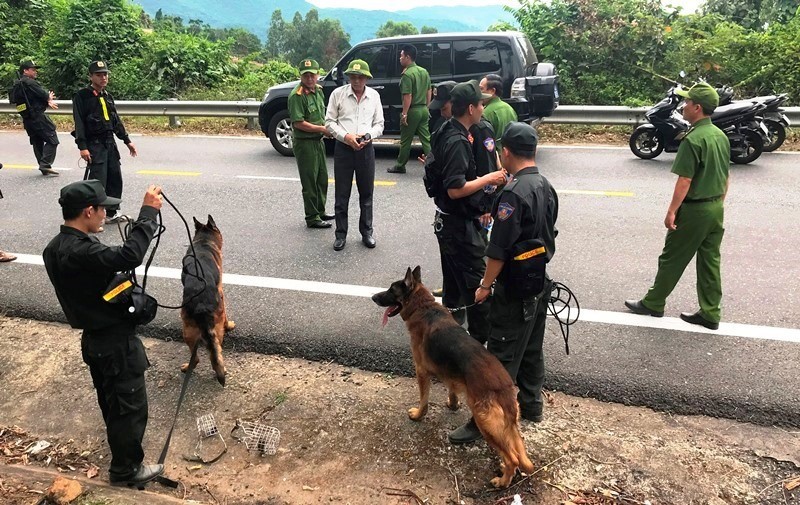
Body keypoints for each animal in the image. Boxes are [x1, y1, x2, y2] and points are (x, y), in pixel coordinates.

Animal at [180, 215, 233, 384]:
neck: (204, 241)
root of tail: (200, 305)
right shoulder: (221, 291)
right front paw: (229, 325)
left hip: (188, 332)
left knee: (201, 357)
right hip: (214, 330)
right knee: (215, 352)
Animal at [372, 266, 536, 486]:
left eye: (391, 290)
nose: (373, 297)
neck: (423, 306)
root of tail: (504, 385)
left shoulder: (421, 370)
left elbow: (424, 399)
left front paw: (418, 415)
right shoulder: (449, 371)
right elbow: (451, 387)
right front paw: (453, 403)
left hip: (485, 422)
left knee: (513, 458)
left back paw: (502, 481)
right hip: (504, 424)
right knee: (515, 450)